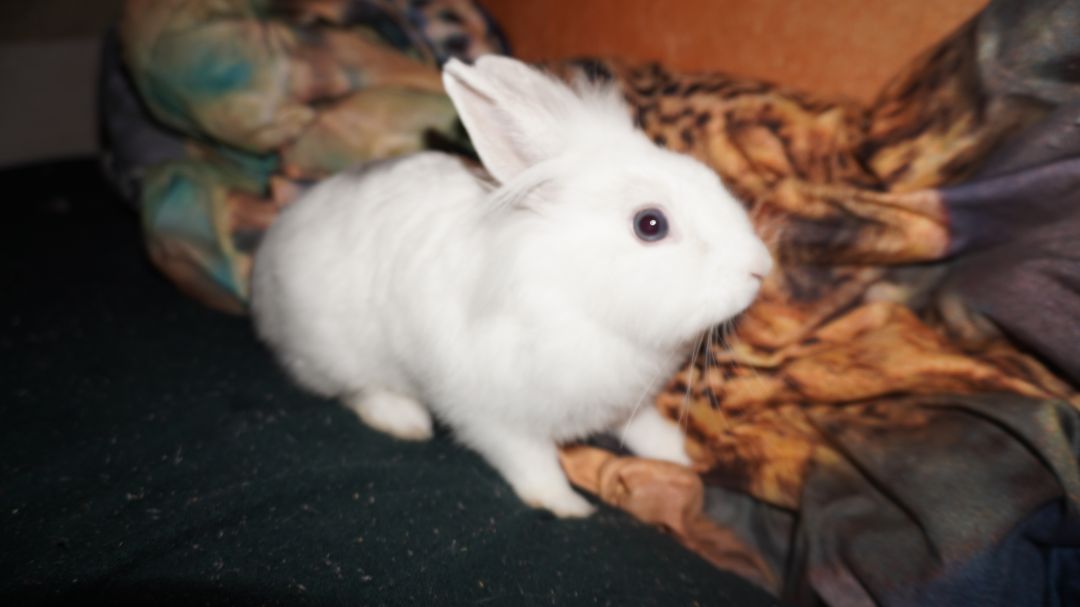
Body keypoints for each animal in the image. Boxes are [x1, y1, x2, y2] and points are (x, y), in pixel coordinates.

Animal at [250, 55, 773, 518]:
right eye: (650, 224)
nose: (760, 268)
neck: (577, 296)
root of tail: (269, 254)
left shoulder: (628, 403)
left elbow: (644, 428)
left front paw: (682, 455)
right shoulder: (494, 417)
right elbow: (533, 464)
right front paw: (567, 507)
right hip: (336, 352)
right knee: (355, 390)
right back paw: (406, 420)